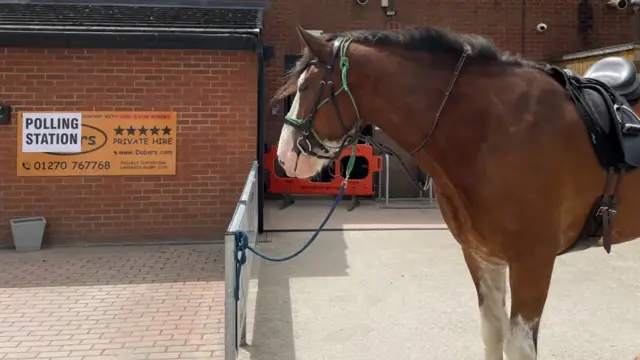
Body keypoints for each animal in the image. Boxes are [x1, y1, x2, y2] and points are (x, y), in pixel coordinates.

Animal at [274, 26, 640, 360]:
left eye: (305, 87)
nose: (284, 157)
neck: (497, 129)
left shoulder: (533, 261)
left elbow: (518, 347)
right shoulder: (482, 255)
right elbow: (492, 333)